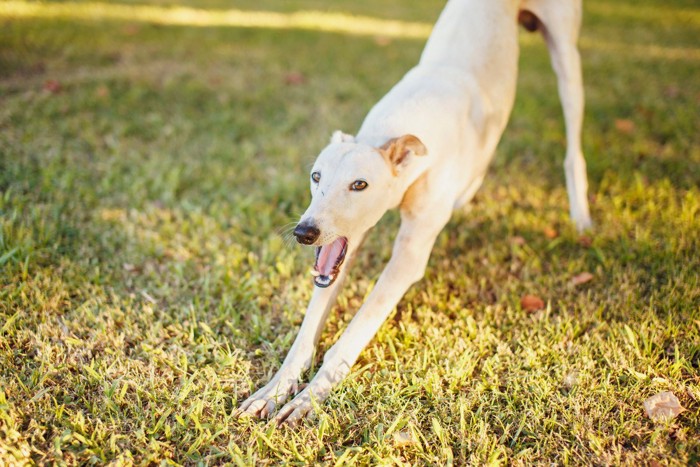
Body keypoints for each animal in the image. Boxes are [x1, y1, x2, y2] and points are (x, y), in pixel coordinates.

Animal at [238, 0, 592, 426]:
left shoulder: (407, 259)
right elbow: (311, 322)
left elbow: (355, 330)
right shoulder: (343, 248)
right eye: (315, 176)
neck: (398, 131)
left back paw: (581, 218)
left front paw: (311, 396)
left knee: (572, 143)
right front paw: (276, 387)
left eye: (360, 185)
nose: (305, 232)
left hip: (567, 61)